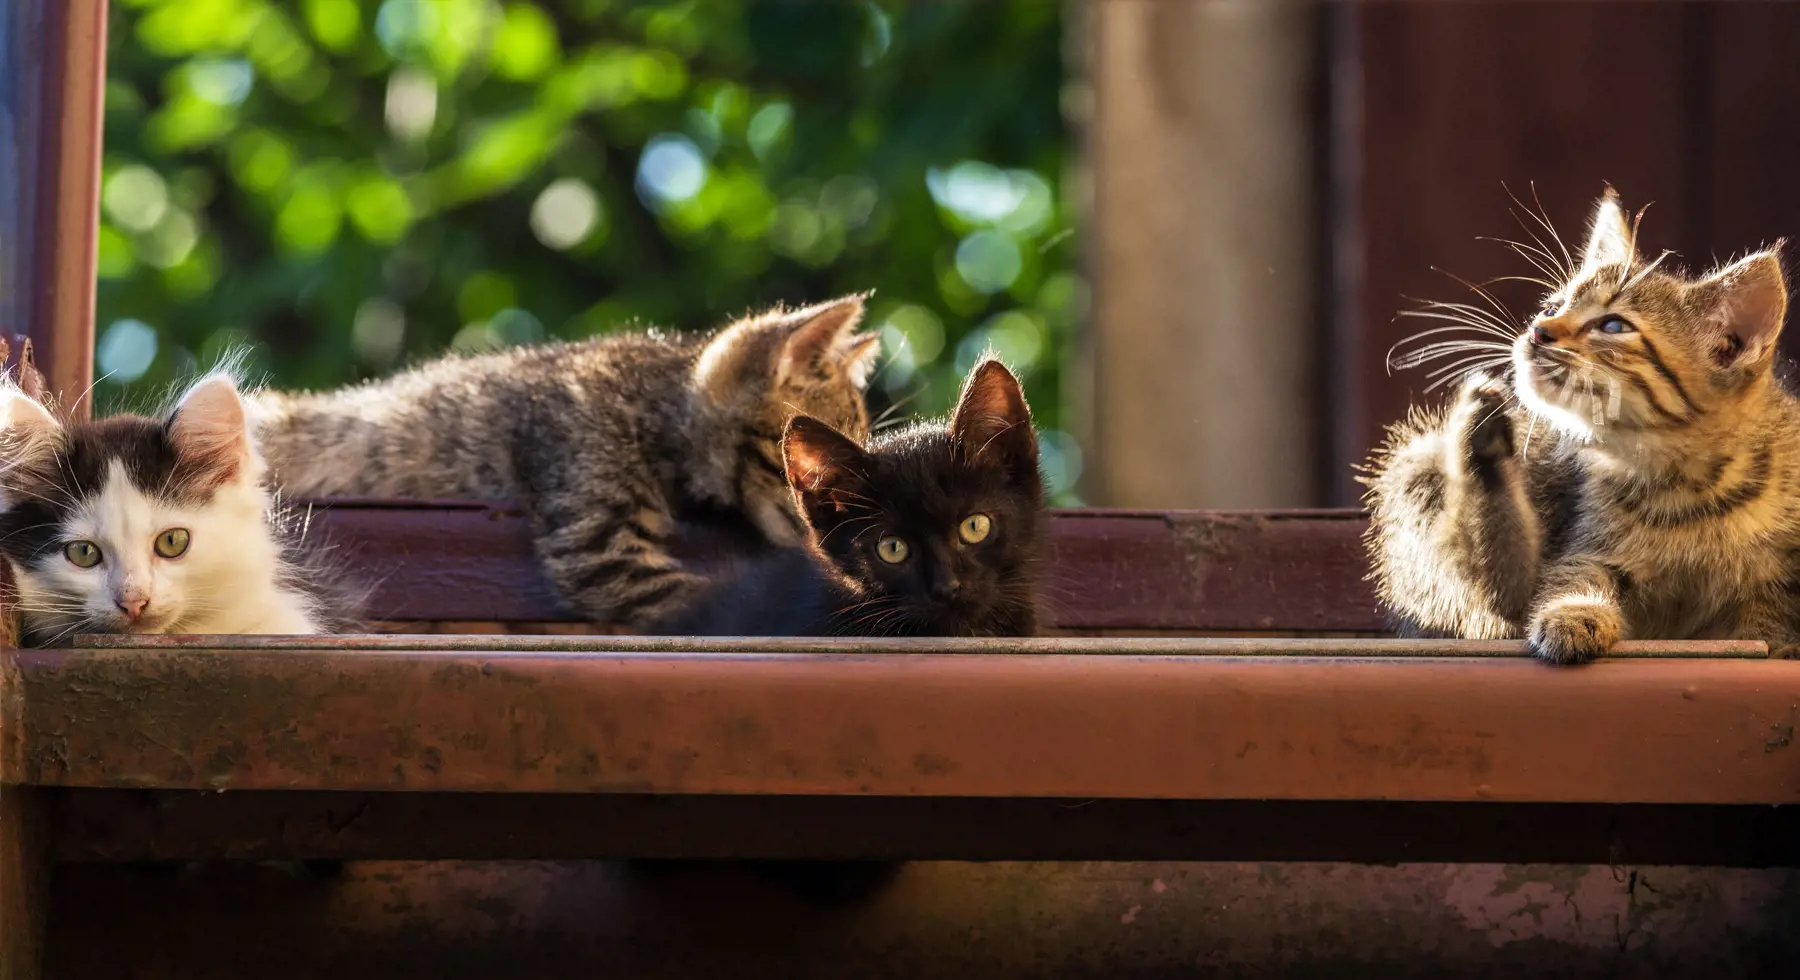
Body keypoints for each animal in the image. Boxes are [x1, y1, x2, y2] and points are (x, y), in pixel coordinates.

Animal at [1360, 189, 1800, 666]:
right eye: (1553, 308)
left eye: (1613, 325)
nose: (1537, 330)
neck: (1684, 487)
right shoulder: (1587, 546)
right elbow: (1567, 580)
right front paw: (1573, 612)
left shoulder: (1778, 576)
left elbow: (1766, 622)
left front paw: (1776, 643)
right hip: (1424, 470)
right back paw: (1481, 443)